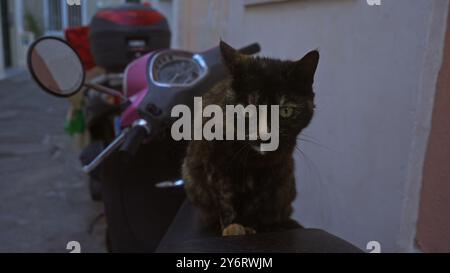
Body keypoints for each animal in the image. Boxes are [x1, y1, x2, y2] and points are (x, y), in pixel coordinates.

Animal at [181, 41, 318, 236]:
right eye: (247, 110)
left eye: (285, 111)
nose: (265, 135)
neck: (253, 160)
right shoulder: (217, 164)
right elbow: (226, 198)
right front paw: (232, 228)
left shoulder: (272, 171)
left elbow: (257, 203)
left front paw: (254, 228)